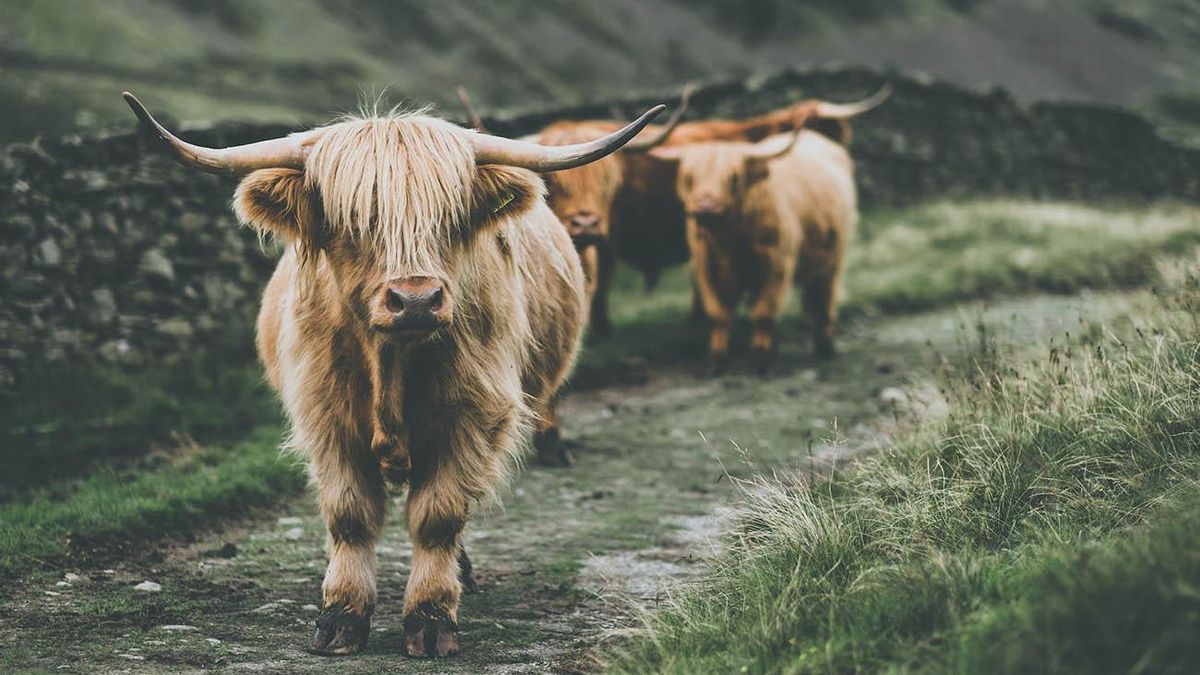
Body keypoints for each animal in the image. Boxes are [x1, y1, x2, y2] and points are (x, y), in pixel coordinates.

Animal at [121, 92, 665, 658]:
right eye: (354, 218)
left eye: (450, 217)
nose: (416, 299)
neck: (391, 364)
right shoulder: (326, 419)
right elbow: (350, 516)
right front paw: (340, 616)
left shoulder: (472, 418)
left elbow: (439, 516)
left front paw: (430, 618)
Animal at [647, 122, 858, 372]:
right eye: (690, 177)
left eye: (733, 177)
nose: (706, 206)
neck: (727, 241)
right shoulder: (705, 267)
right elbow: (719, 314)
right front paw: (717, 360)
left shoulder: (777, 265)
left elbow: (762, 313)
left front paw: (760, 360)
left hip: (834, 256)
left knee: (824, 299)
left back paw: (824, 347)